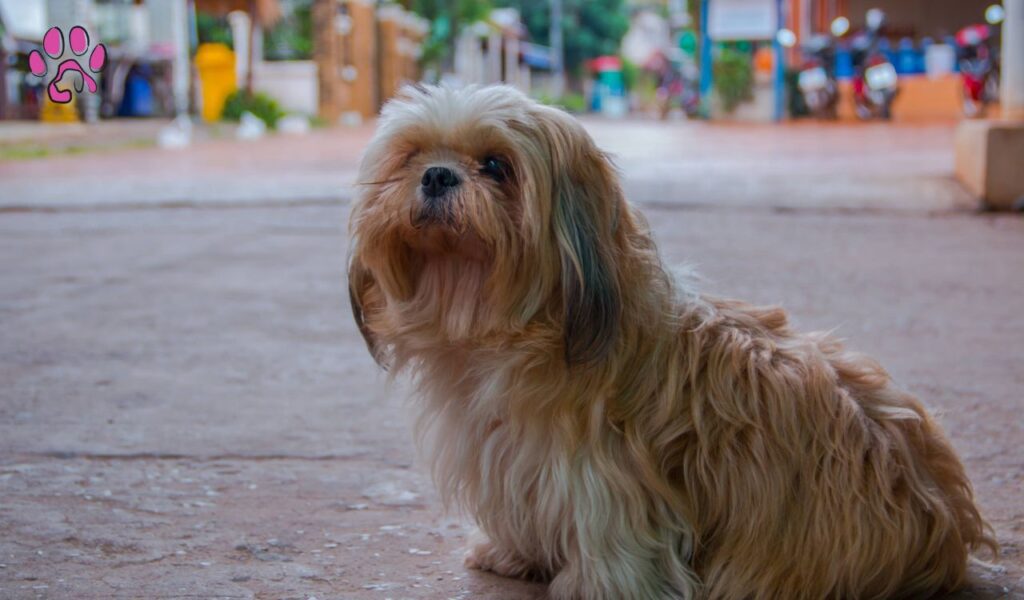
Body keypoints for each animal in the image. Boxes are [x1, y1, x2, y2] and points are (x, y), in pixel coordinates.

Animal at [348, 85, 995, 597]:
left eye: (496, 165)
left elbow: (611, 535)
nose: (436, 175)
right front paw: (514, 553)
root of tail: (947, 532)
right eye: (411, 156)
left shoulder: (600, 476)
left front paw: (594, 586)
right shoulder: (513, 462)